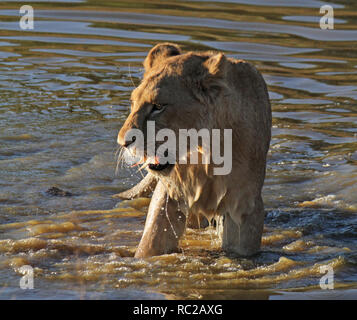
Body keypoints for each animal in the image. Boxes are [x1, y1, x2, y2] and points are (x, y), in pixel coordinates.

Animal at [116, 43, 270, 258]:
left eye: (158, 106)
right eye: (133, 103)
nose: (123, 142)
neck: (203, 157)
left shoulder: (244, 205)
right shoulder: (169, 194)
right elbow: (151, 241)